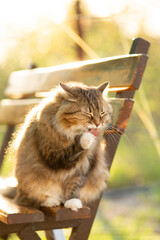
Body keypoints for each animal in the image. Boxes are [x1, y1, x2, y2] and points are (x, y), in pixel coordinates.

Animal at [12, 81, 112, 211]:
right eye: (88, 113)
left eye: (102, 113)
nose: (98, 124)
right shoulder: (53, 155)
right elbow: (76, 146)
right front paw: (86, 138)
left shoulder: (84, 165)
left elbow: (75, 185)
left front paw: (72, 202)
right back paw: (50, 201)